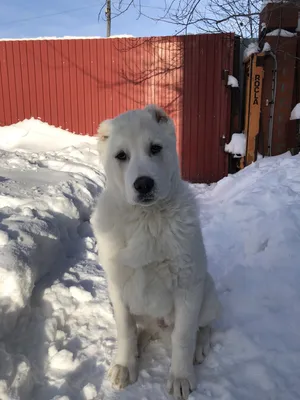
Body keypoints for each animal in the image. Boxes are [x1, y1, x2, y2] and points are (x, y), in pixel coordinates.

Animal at [91, 104, 220, 398]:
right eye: (121, 156)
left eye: (155, 148)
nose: (143, 184)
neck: (146, 219)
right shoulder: (117, 286)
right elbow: (125, 329)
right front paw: (125, 366)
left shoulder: (187, 284)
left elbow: (183, 336)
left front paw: (181, 377)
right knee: (140, 329)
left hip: (206, 289)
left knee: (203, 325)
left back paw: (200, 346)